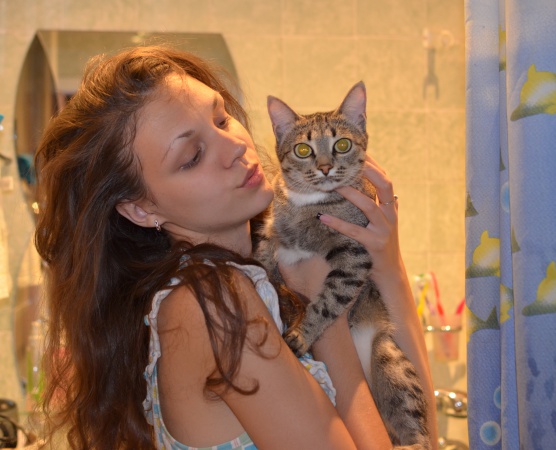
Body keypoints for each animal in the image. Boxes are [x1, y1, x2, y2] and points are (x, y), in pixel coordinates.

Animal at [255, 82, 430, 450]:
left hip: (390, 360)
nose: (324, 167)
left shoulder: (354, 252)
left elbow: (327, 301)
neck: (308, 205)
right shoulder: (269, 234)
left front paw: (301, 336)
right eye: (303, 149)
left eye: (343, 144)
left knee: (415, 430)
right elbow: (263, 259)